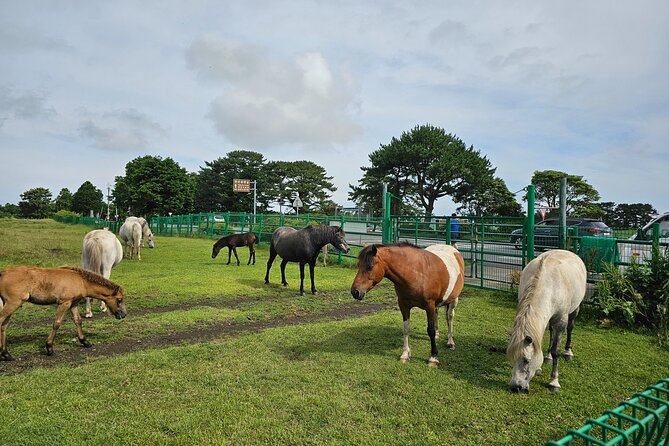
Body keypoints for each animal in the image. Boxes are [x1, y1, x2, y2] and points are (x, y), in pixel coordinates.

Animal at [506, 251, 584, 394]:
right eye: (511, 357)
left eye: (526, 360)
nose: (516, 387)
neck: (548, 285)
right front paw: (541, 365)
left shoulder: (561, 321)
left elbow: (556, 351)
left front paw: (554, 382)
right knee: (551, 331)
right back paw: (548, 357)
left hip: (575, 309)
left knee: (570, 327)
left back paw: (568, 352)